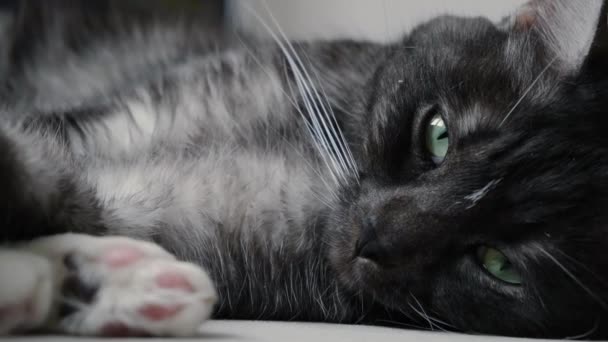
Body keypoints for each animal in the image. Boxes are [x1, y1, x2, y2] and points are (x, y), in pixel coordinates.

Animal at [1, 0, 608, 338]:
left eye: (498, 264)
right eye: (437, 135)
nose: (373, 237)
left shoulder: (170, 218)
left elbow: (59, 188)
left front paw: (115, 283)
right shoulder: (114, 121)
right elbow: (42, 163)